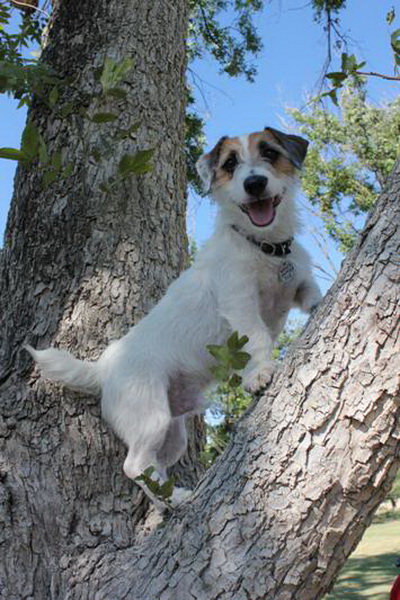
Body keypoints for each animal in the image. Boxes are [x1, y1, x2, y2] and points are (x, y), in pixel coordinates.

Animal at [26, 129, 322, 508]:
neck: (263, 247)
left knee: (154, 467)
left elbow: (313, 296)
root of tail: (103, 369)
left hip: (172, 433)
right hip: (150, 417)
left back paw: (165, 504)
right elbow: (257, 336)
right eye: (230, 164)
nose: (254, 183)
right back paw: (176, 500)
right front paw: (259, 373)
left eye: (269, 153)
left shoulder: (299, 283)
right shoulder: (240, 302)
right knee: (133, 465)